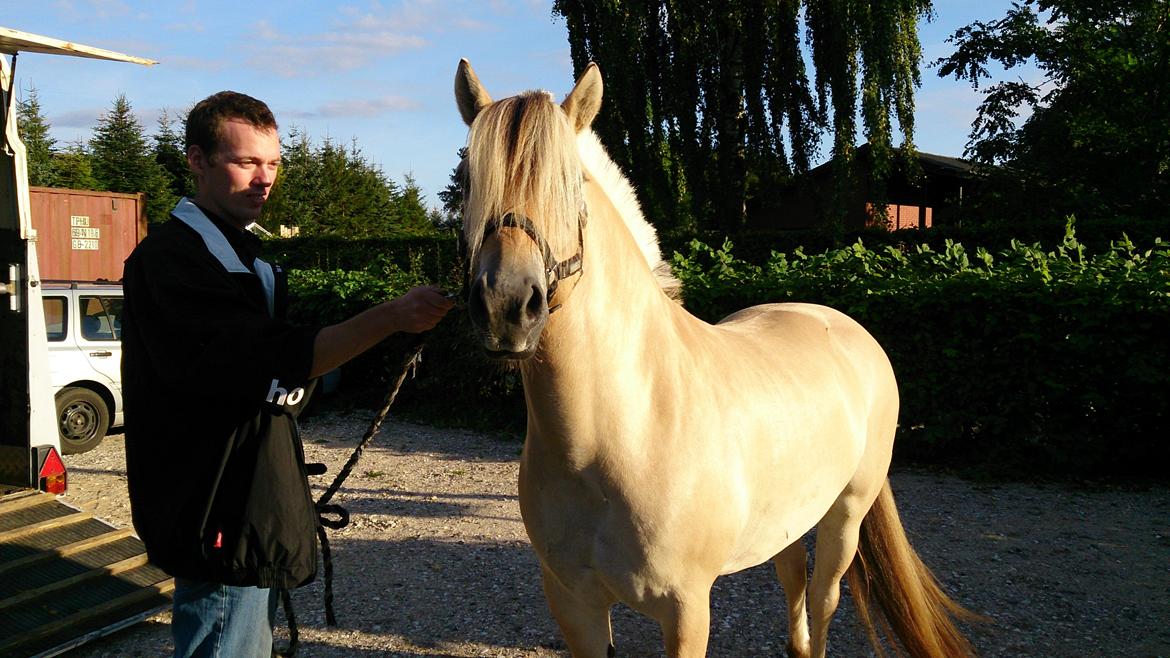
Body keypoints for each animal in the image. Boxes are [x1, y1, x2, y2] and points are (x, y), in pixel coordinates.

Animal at [456, 57, 978, 655]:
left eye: (572, 183)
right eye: (469, 179)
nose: (506, 306)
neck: (620, 430)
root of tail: (849, 330)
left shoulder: (686, 610)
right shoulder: (573, 604)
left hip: (845, 513)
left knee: (824, 600)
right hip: (787, 519)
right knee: (794, 582)